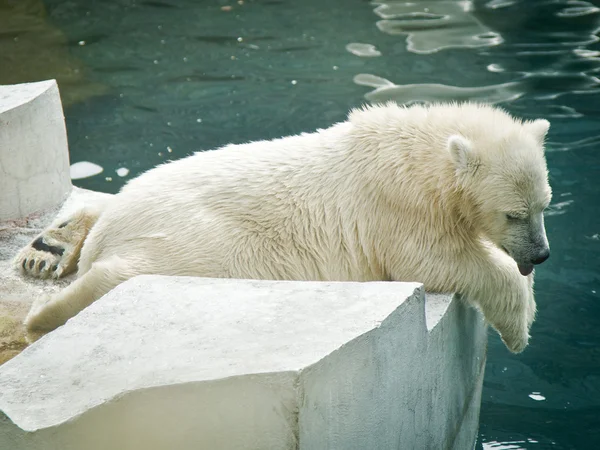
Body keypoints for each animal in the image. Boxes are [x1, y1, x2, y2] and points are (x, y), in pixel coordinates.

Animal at [14, 103, 552, 354]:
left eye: (545, 206)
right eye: (514, 213)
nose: (541, 255)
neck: (418, 157)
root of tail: (116, 226)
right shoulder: (395, 208)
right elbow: (438, 260)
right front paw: (519, 326)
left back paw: (57, 243)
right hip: (199, 238)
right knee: (132, 272)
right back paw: (44, 312)